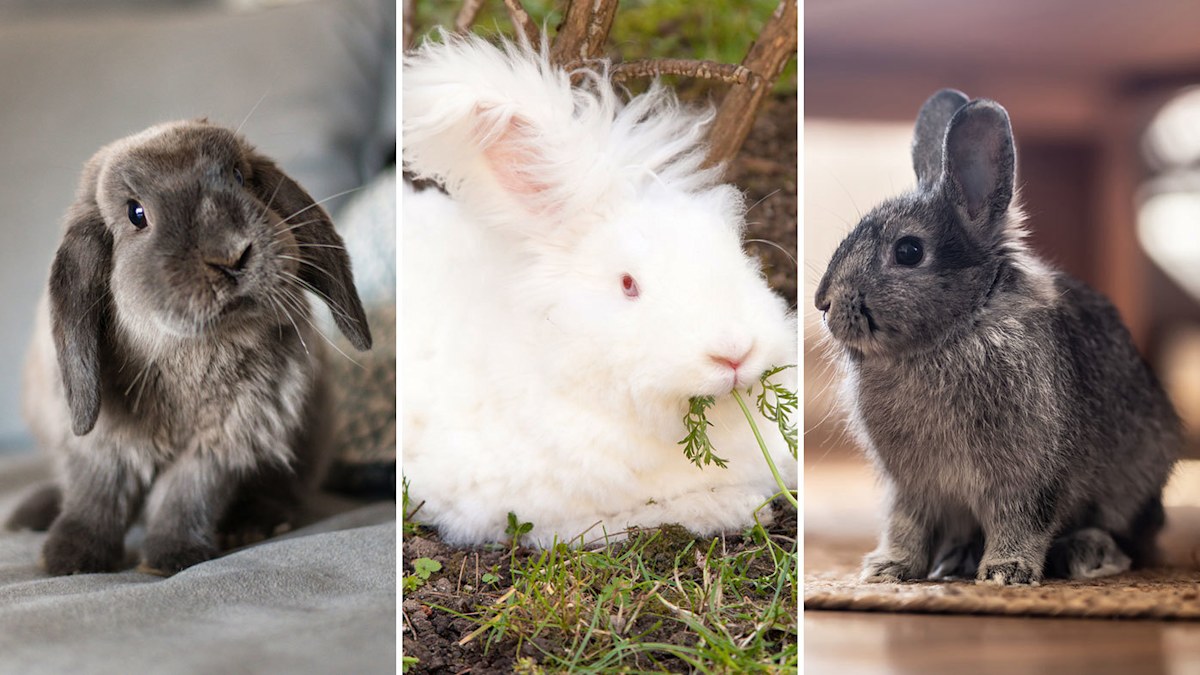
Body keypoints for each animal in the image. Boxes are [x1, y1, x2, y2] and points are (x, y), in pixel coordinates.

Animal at [6, 119, 372, 576]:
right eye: (136, 213)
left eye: (239, 177)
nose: (231, 255)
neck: (193, 350)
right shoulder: (102, 444)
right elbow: (97, 494)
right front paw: (69, 559)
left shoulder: (222, 444)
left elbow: (186, 495)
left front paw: (171, 558)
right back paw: (31, 515)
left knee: (284, 490)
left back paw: (253, 525)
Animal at [815, 88, 1180, 586]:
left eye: (909, 251)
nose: (823, 303)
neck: (958, 328)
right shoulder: (913, 486)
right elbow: (906, 524)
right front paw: (888, 569)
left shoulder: (1029, 474)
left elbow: (1021, 521)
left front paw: (1005, 573)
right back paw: (956, 559)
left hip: (1131, 485)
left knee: (1129, 537)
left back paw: (1088, 554)